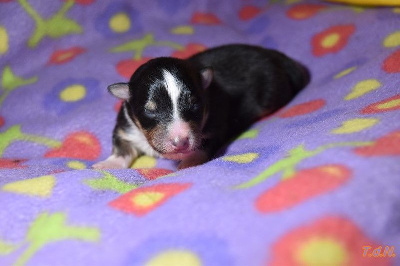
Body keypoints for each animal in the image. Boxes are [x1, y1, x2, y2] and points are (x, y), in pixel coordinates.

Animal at [93, 43, 310, 168]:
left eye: (194, 104)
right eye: (150, 110)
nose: (180, 142)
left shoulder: (213, 130)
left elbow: (202, 148)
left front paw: (186, 164)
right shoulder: (124, 128)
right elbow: (121, 148)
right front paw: (107, 166)